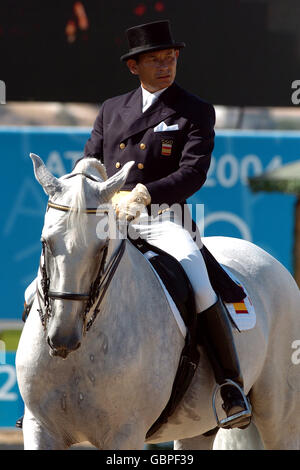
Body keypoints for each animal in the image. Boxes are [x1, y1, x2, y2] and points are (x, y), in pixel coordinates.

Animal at [15, 153, 300, 448]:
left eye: (102, 247)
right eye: (45, 242)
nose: (63, 337)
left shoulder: (126, 434)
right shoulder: (40, 428)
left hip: (280, 417)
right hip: (197, 429)